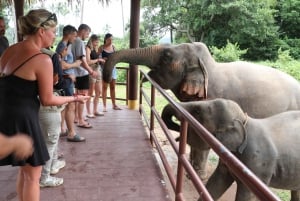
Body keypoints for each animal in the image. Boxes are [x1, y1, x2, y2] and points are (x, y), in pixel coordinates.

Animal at [102, 42, 300, 179]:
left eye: (166, 56)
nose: (106, 77)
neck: (207, 65)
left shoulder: (213, 96)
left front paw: (197, 175)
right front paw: (190, 168)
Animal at [163, 99, 300, 201]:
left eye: (197, 111)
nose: (178, 129)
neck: (245, 122)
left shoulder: (257, 166)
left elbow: (247, 196)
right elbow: (216, 182)